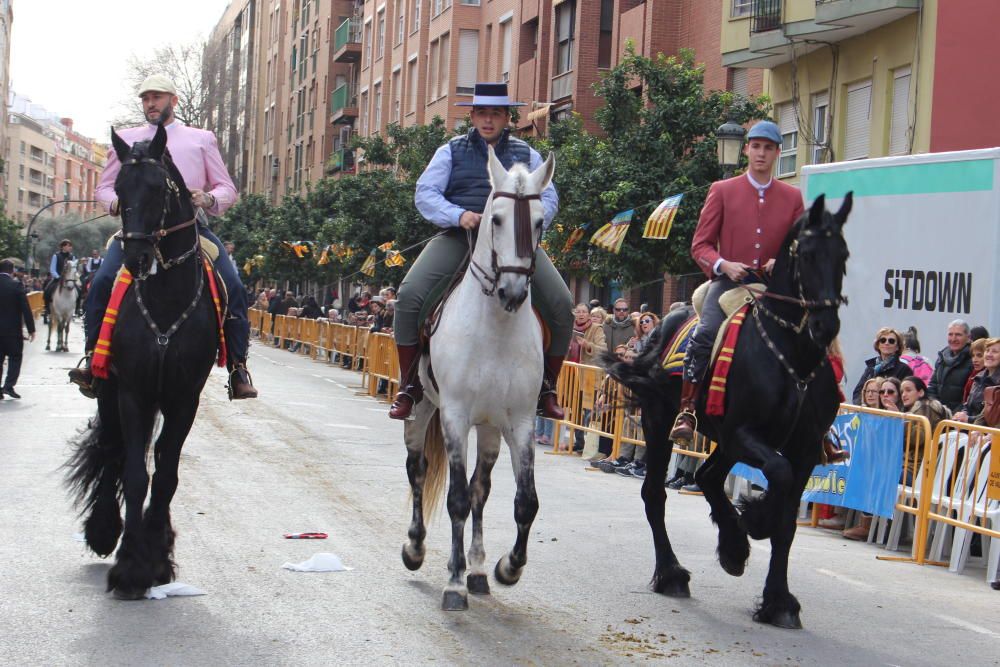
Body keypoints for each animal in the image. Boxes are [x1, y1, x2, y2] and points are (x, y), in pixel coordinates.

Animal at [66, 126, 219, 600]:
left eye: (158, 189)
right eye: (118, 190)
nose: (136, 258)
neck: (165, 299)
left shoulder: (183, 398)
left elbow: (166, 475)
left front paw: (156, 557)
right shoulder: (132, 391)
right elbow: (135, 473)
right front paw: (131, 566)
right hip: (110, 390)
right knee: (111, 448)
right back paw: (103, 530)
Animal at [400, 145, 556, 612]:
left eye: (539, 221)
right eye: (497, 218)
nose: (513, 292)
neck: (496, 329)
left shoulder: (520, 422)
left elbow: (525, 502)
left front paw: (507, 567)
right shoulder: (454, 415)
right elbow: (454, 500)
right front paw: (453, 584)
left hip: (489, 428)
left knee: (480, 489)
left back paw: (480, 570)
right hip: (422, 409)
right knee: (417, 469)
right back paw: (415, 548)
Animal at [600, 192, 852, 628]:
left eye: (844, 255)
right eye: (806, 255)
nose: (825, 326)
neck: (790, 356)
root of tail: (662, 324)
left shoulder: (803, 449)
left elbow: (787, 522)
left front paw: (778, 599)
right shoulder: (744, 433)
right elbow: (778, 476)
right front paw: (754, 520)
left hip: (722, 441)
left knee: (706, 476)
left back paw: (732, 545)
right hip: (662, 421)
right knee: (656, 493)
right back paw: (673, 572)